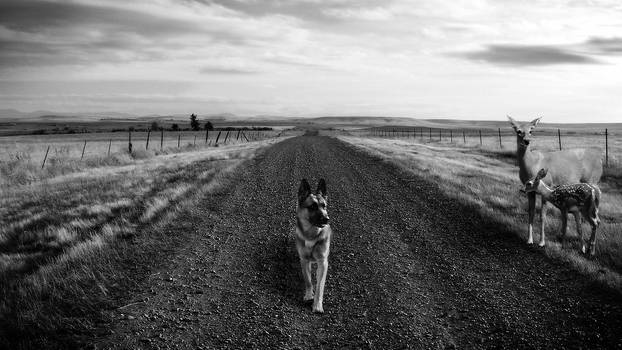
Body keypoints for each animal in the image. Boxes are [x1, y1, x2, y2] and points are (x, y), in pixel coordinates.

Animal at [296, 179, 332, 314]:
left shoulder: (323, 263)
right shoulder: (304, 260)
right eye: (312, 206)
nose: (327, 219)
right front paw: (308, 295)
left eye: (324, 206)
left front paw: (317, 305)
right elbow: (308, 280)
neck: (312, 235)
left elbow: (320, 287)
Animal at [508, 115, 604, 246]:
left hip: (593, 180)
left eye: (531, 130)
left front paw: (542, 242)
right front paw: (529, 240)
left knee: (595, 214)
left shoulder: (548, 184)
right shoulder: (530, 191)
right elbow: (531, 213)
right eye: (518, 131)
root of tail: (600, 157)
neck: (532, 165)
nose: (527, 140)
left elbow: (542, 216)